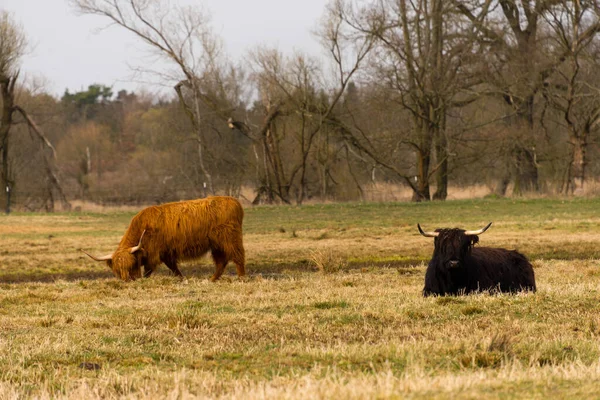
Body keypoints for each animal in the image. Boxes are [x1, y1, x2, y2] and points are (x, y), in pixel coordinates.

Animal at [82, 197, 246, 282]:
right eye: (117, 269)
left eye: (131, 265)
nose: (127, 280)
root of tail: (234, 201)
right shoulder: (167, 253)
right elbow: (173, 267)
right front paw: (182, 278)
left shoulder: (154, 254)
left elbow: (149, 270)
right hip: (216, 245)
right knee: (221, 262)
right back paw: (212, 279)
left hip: (230, 240)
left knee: (238, 257)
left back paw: (241, 277)